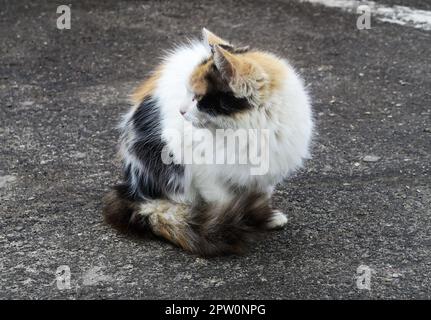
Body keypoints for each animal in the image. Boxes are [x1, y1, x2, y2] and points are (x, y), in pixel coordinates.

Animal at [104, 28, 314, 256]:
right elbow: (224, 201)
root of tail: (132, 187)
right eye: (188, 94)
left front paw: (265, 215)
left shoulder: (268, 168)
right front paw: (230, 221)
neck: (252, 129)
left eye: (197, 98)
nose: (181, 110)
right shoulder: (203, 170)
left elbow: (262, 192)